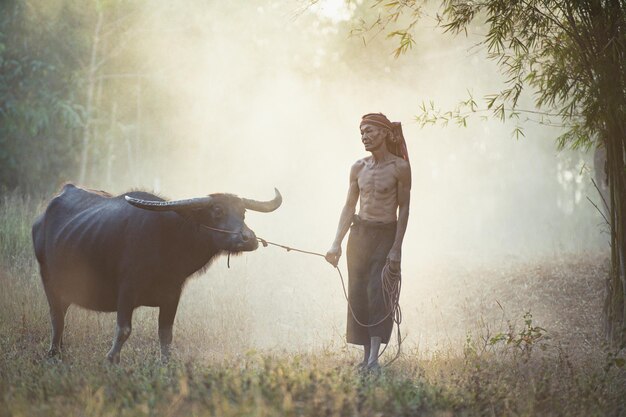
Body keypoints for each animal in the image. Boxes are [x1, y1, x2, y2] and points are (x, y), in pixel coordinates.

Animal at [31, 182, 280, 360]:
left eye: (243, 213)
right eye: (217, 211)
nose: (249, 239)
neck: (169, 240)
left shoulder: (172, 295)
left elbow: (166, 334)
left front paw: (165, 363)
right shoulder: (126, 291)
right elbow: (124, 329)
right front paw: (111, 359)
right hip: (48, 280)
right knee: (57, 317)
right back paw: (54, 353)